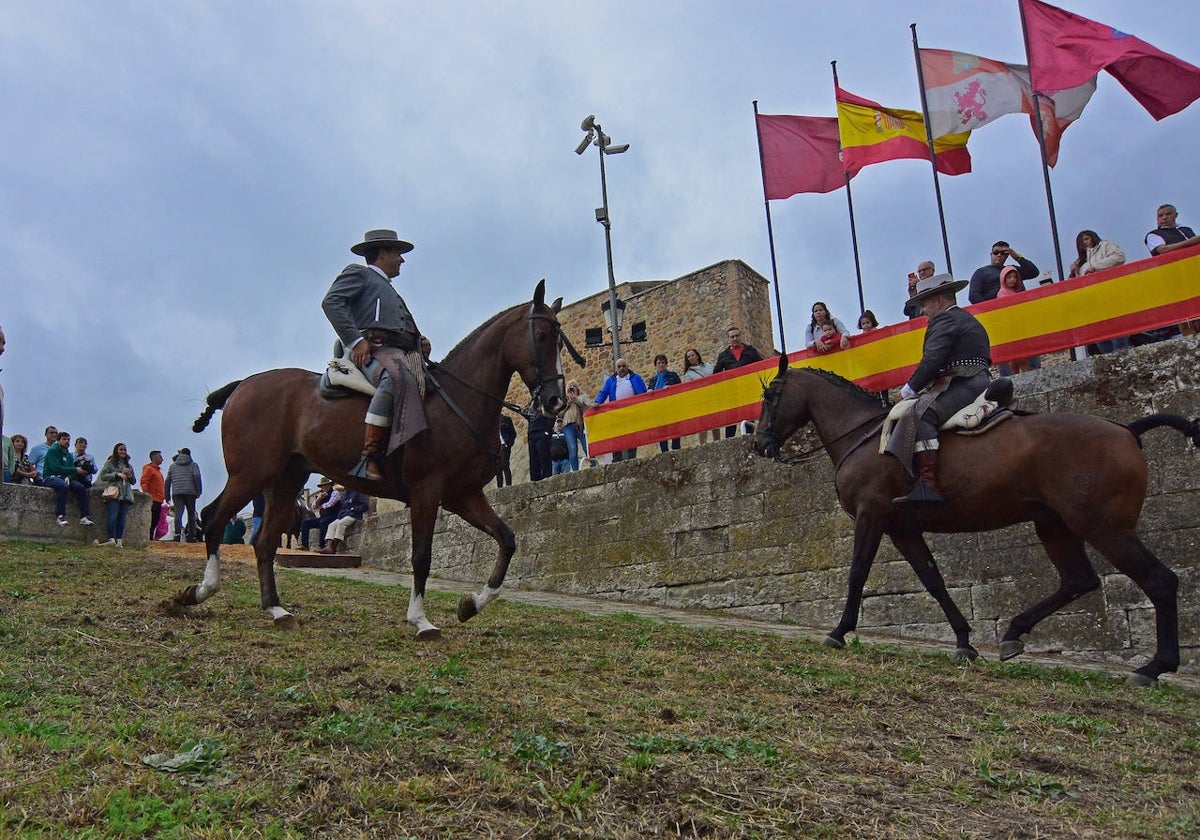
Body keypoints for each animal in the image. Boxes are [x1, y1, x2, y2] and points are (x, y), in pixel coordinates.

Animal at [178, 280, 571, 638]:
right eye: (540, 335)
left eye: (559, 339)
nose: (555, 401)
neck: (456, 403)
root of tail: (244, 385)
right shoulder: (427, 493)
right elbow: (421, 556)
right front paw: (421, 620)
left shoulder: (464, 496)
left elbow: (507, 539)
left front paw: (471, 604)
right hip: (251, 474)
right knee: (212, 519)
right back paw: (201, 591)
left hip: (283, 483)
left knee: (263, 542)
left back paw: (276, 610)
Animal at [753, 360, 1195, 681]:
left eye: (771, 395)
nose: (759, 444)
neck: (865, 437)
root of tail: (1126, 429)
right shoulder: (902, 528)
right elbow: (932, 579)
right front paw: (964, 641)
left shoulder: (872, 514)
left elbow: (858, 572)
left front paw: (839, 632)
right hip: (1055, 525)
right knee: (1078, 580)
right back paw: (1013, 635)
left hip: (1104, 528)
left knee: (1159, 580)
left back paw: (1154, 667)